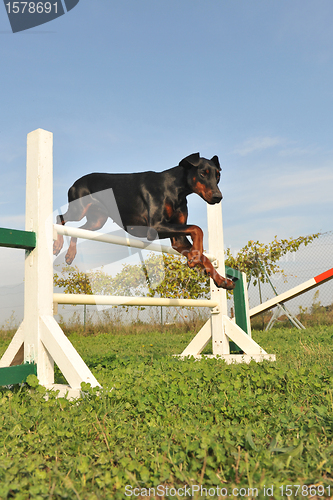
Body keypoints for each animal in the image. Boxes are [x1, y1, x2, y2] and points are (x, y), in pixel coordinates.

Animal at [53, 152, 233, 290]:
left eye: (218, 175)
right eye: (202, 173)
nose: (218, 197)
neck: (175, 189)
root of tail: (75, 183)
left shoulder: (178, 239)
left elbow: (205, 255)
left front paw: (221, 279)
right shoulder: (155, 228)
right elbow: (197, 229)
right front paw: (195, 256)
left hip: (97, 221)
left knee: (77, 230)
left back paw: (70, 254)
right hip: (78, 210)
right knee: (60, 218)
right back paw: (57, 244)